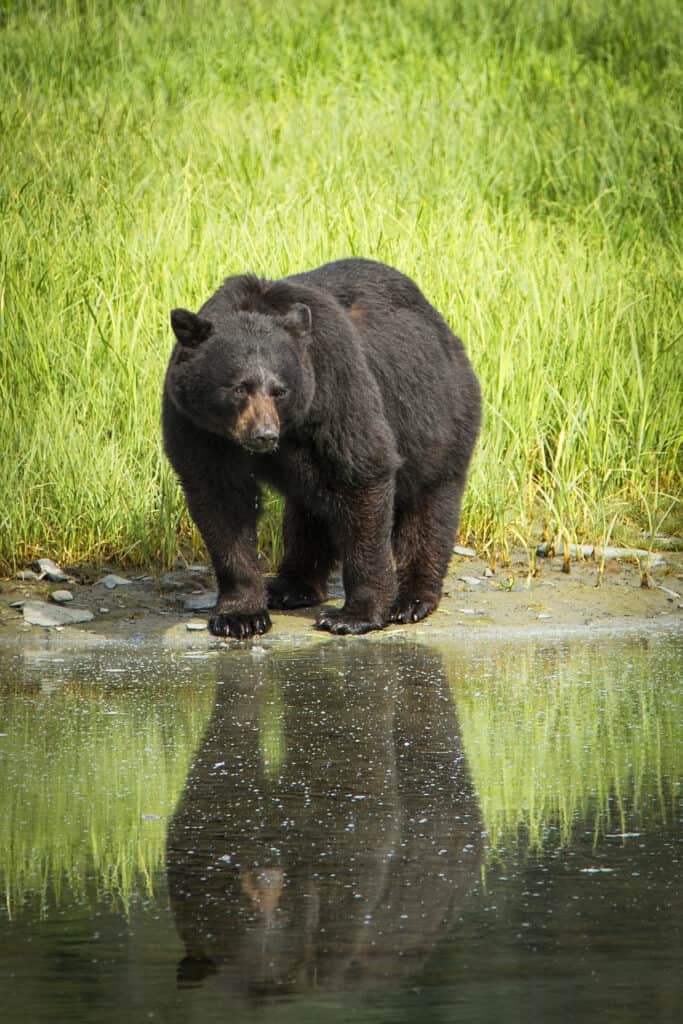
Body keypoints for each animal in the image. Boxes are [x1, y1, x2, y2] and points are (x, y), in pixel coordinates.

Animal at [161, 260, 481, 634]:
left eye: (279, 390)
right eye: (238, 388)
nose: (264, 435)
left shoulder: (334, 385)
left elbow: (363, 472)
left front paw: (354, 615)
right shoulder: (199, 426)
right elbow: (221, 501)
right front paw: (240, 615)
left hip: (437, 416)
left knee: (430, 505)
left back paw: (412, 599)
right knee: (308, 511)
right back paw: (290, 586)